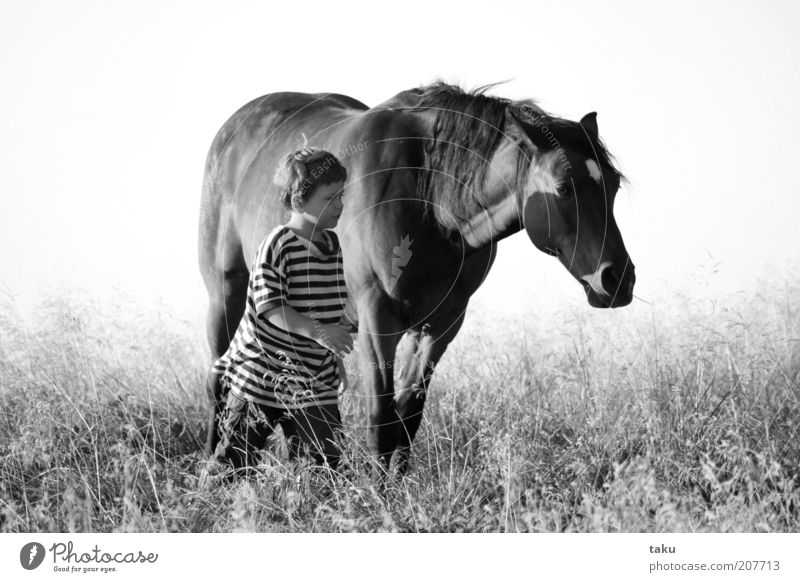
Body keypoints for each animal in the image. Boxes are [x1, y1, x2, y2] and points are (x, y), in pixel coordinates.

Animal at [197, 81, 636, 474]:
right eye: (563, 188)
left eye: (614, 185)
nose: (618, 280)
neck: (431, 201)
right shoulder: (377, 322)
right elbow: (380, 418)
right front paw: (377, 495)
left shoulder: (441, 325)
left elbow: (407, 416)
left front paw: (397, 486)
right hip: (226, 292)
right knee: (219, 380)